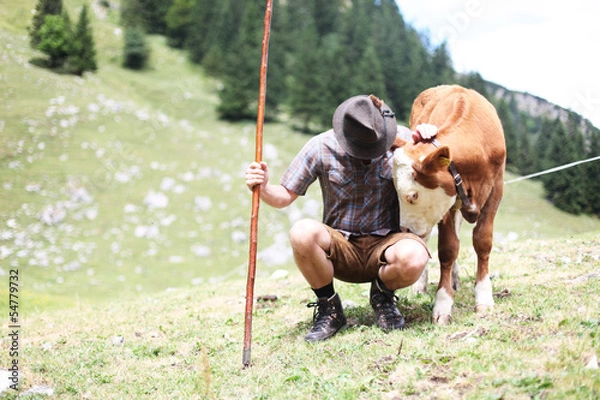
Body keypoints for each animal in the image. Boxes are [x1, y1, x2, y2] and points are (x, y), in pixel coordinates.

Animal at [392, 85, 504, 324]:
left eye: (413, 195)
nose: (402, 230)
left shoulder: (496, 190)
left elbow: (482, 241)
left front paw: (484, 297)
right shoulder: (446, 205)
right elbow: (448, 249)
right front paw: (443, 304)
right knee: (428, 240)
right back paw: (421, 285)